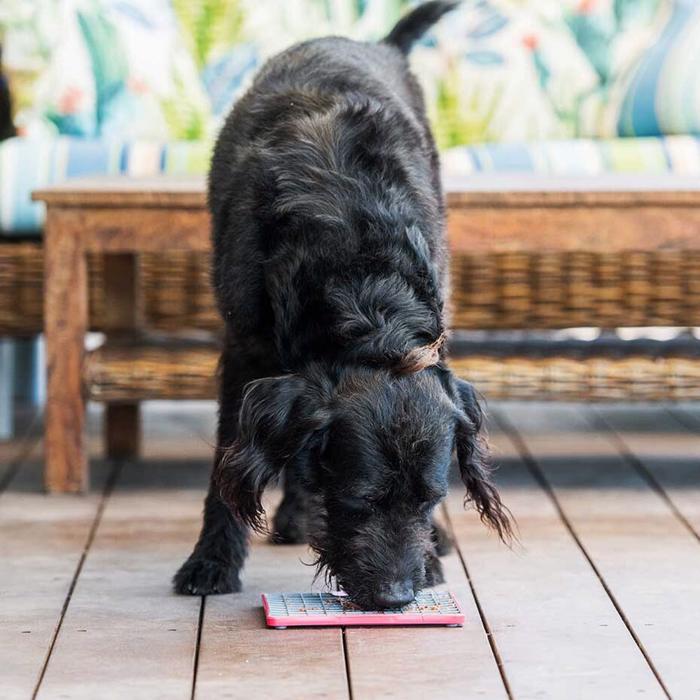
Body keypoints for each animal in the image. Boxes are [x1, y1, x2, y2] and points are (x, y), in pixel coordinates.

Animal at [174, 1, 516, 608]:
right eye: (360, 499)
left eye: (429, 498)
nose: (397, 596)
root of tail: (375, 43)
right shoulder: (243, 354)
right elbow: (229, 465)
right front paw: (212, 560)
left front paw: (433, 550)